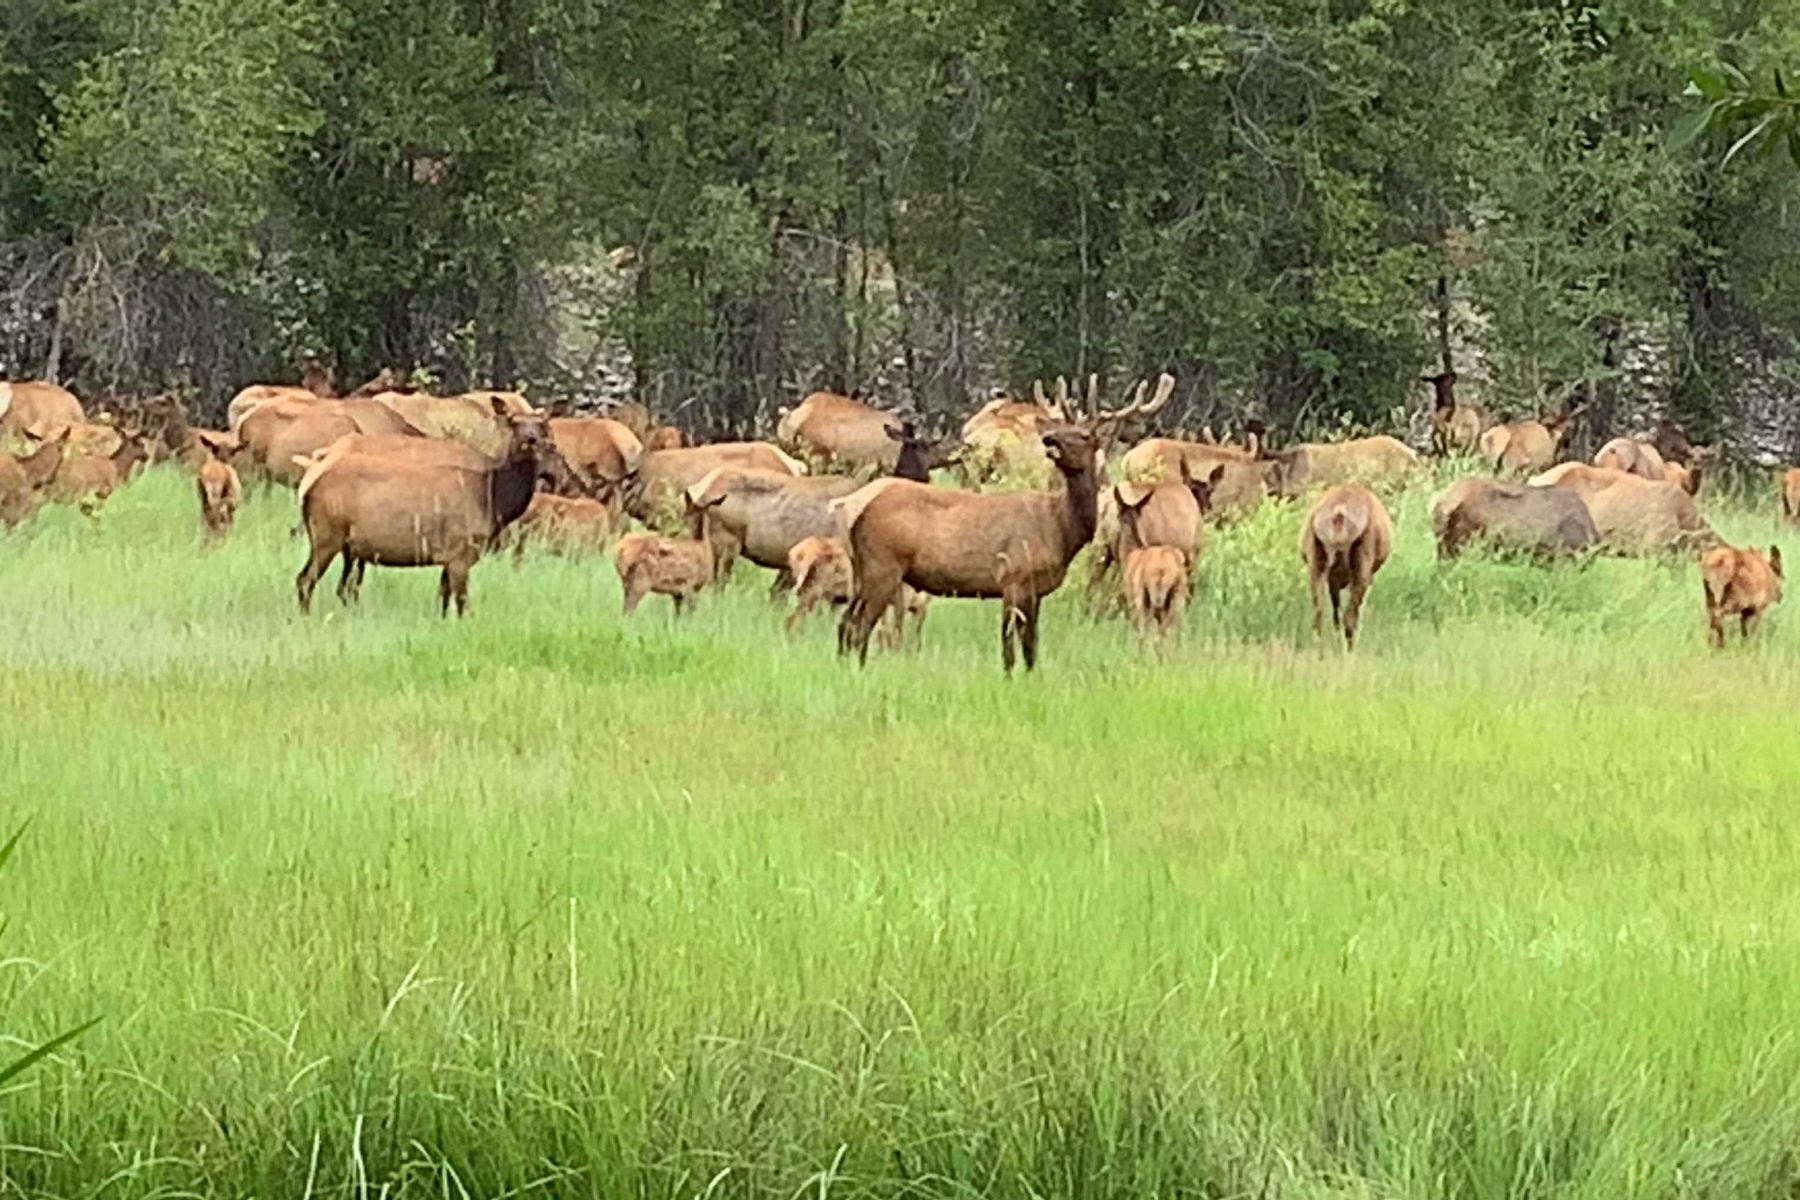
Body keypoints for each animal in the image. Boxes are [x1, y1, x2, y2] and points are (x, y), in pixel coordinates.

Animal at [837, 374, 1174, 673]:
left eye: (1086, 436)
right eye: (1061, 427)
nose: (1049, 439)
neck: (1059, 529)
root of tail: (857, 517)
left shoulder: (1034, 589)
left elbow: (1030, 646)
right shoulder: (1014, 577)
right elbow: (1010, 648)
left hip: (866, 571)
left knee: (845, 622)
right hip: (884, 566)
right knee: (859, 625)